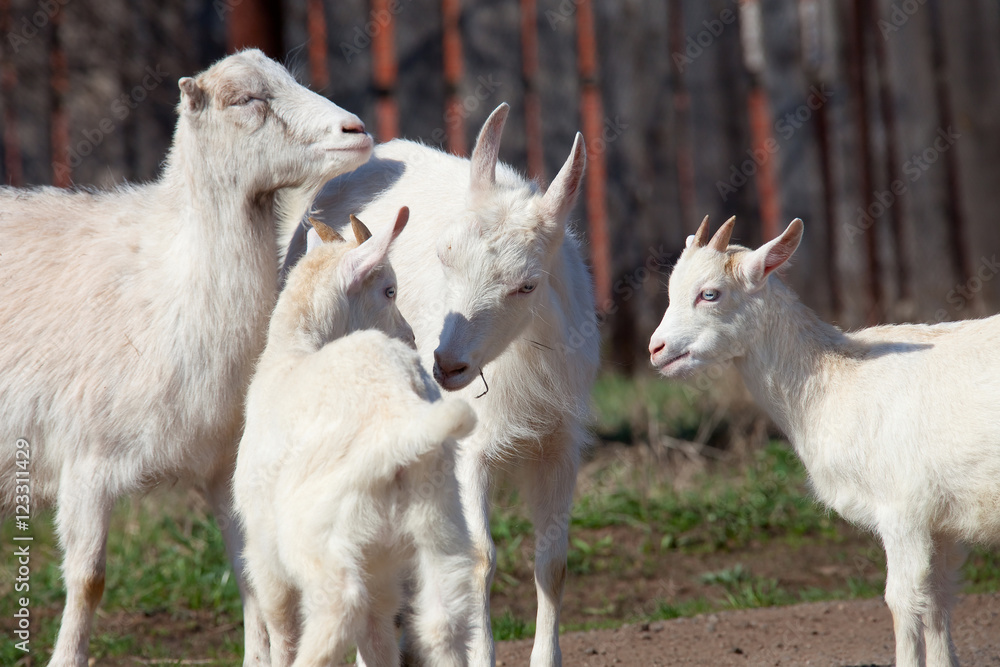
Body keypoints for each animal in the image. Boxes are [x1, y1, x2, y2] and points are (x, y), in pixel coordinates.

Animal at [0, 49, 372, 667]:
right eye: (246, 100)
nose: (357, 131)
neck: (169, 277)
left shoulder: (223, 463)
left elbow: (248, 572)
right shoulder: (86, 463)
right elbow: (88, 581)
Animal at [235, 207, 474, 667]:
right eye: (389, 290)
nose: (411, 338)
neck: (294, 351)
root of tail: (399, 412)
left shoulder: (261, 541)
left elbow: (280, 623)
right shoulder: (380, 565)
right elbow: (378, 634)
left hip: (317, 529)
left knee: (337, 608)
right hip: (439, 520)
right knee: (444, 620)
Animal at [284, 103, 598, 666]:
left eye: (527, 284)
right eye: (445, 256)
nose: (447, 365)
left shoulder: (560, 443)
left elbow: (553, 562)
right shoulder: (468, 447)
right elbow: (479, 558)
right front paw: (481, 654)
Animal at [649, 216, 1000, 667]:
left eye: (709, 293)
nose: (656, 349)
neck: (838, 382)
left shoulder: (904, 509)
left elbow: (903, 602)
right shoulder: (941, 524)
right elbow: (938, 602)